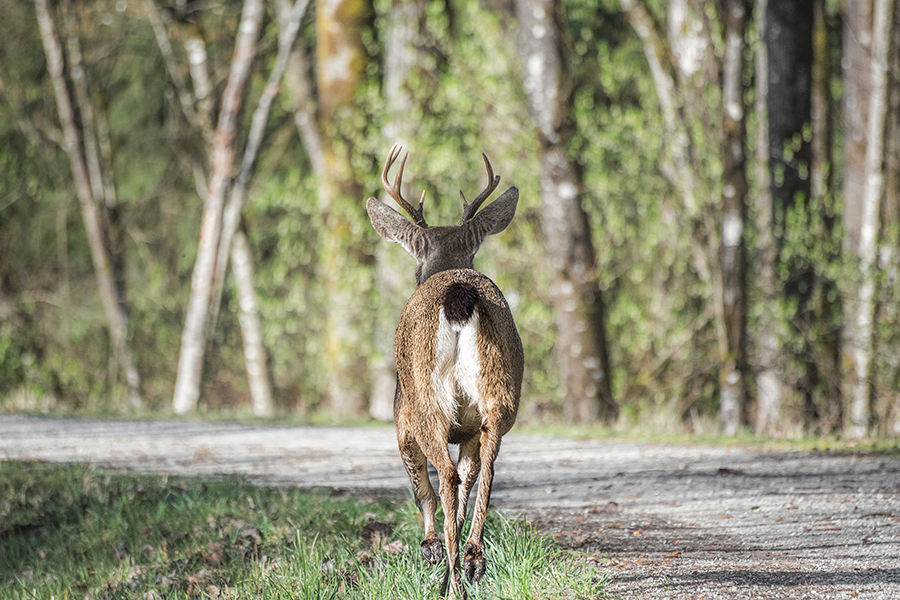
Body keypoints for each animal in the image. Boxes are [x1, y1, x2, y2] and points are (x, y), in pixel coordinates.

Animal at [364, 144, 524, 596]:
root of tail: (457, 291)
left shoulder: (401, 417)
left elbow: (422, 488)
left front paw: (430, 547)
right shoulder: (467, 429)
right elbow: (470, 479)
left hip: (424, 400)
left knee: (446, 478)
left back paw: (453, 579)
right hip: (499, 390)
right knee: (484, 471)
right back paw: (473, 559)